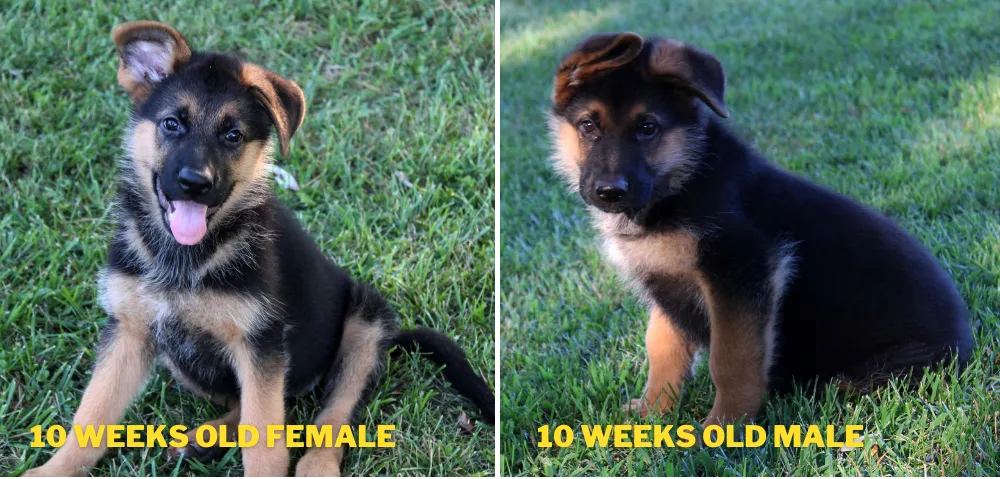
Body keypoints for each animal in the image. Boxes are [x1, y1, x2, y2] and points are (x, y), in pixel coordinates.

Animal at [22, 20, 492, 478]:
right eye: (172, 124)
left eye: (233, 135)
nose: (195, 183)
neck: (189, 258)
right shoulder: (129, 330)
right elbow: (92, 415)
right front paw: (53, 471)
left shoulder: (259, 343)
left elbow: (265, 440)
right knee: (247, 405)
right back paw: (204, 439)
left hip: (366, 323)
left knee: (331, 416)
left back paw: (315, 467)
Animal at [548, 31, 976, 426]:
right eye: (588, 126)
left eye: (648, 128)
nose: (610, 192)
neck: (680, 182)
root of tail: (966, 343)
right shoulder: (666, 286)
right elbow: (662, 350)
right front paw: (651, 414)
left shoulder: (742, 271)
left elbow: (731, 360)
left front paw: (722, 428)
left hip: (874, 371)